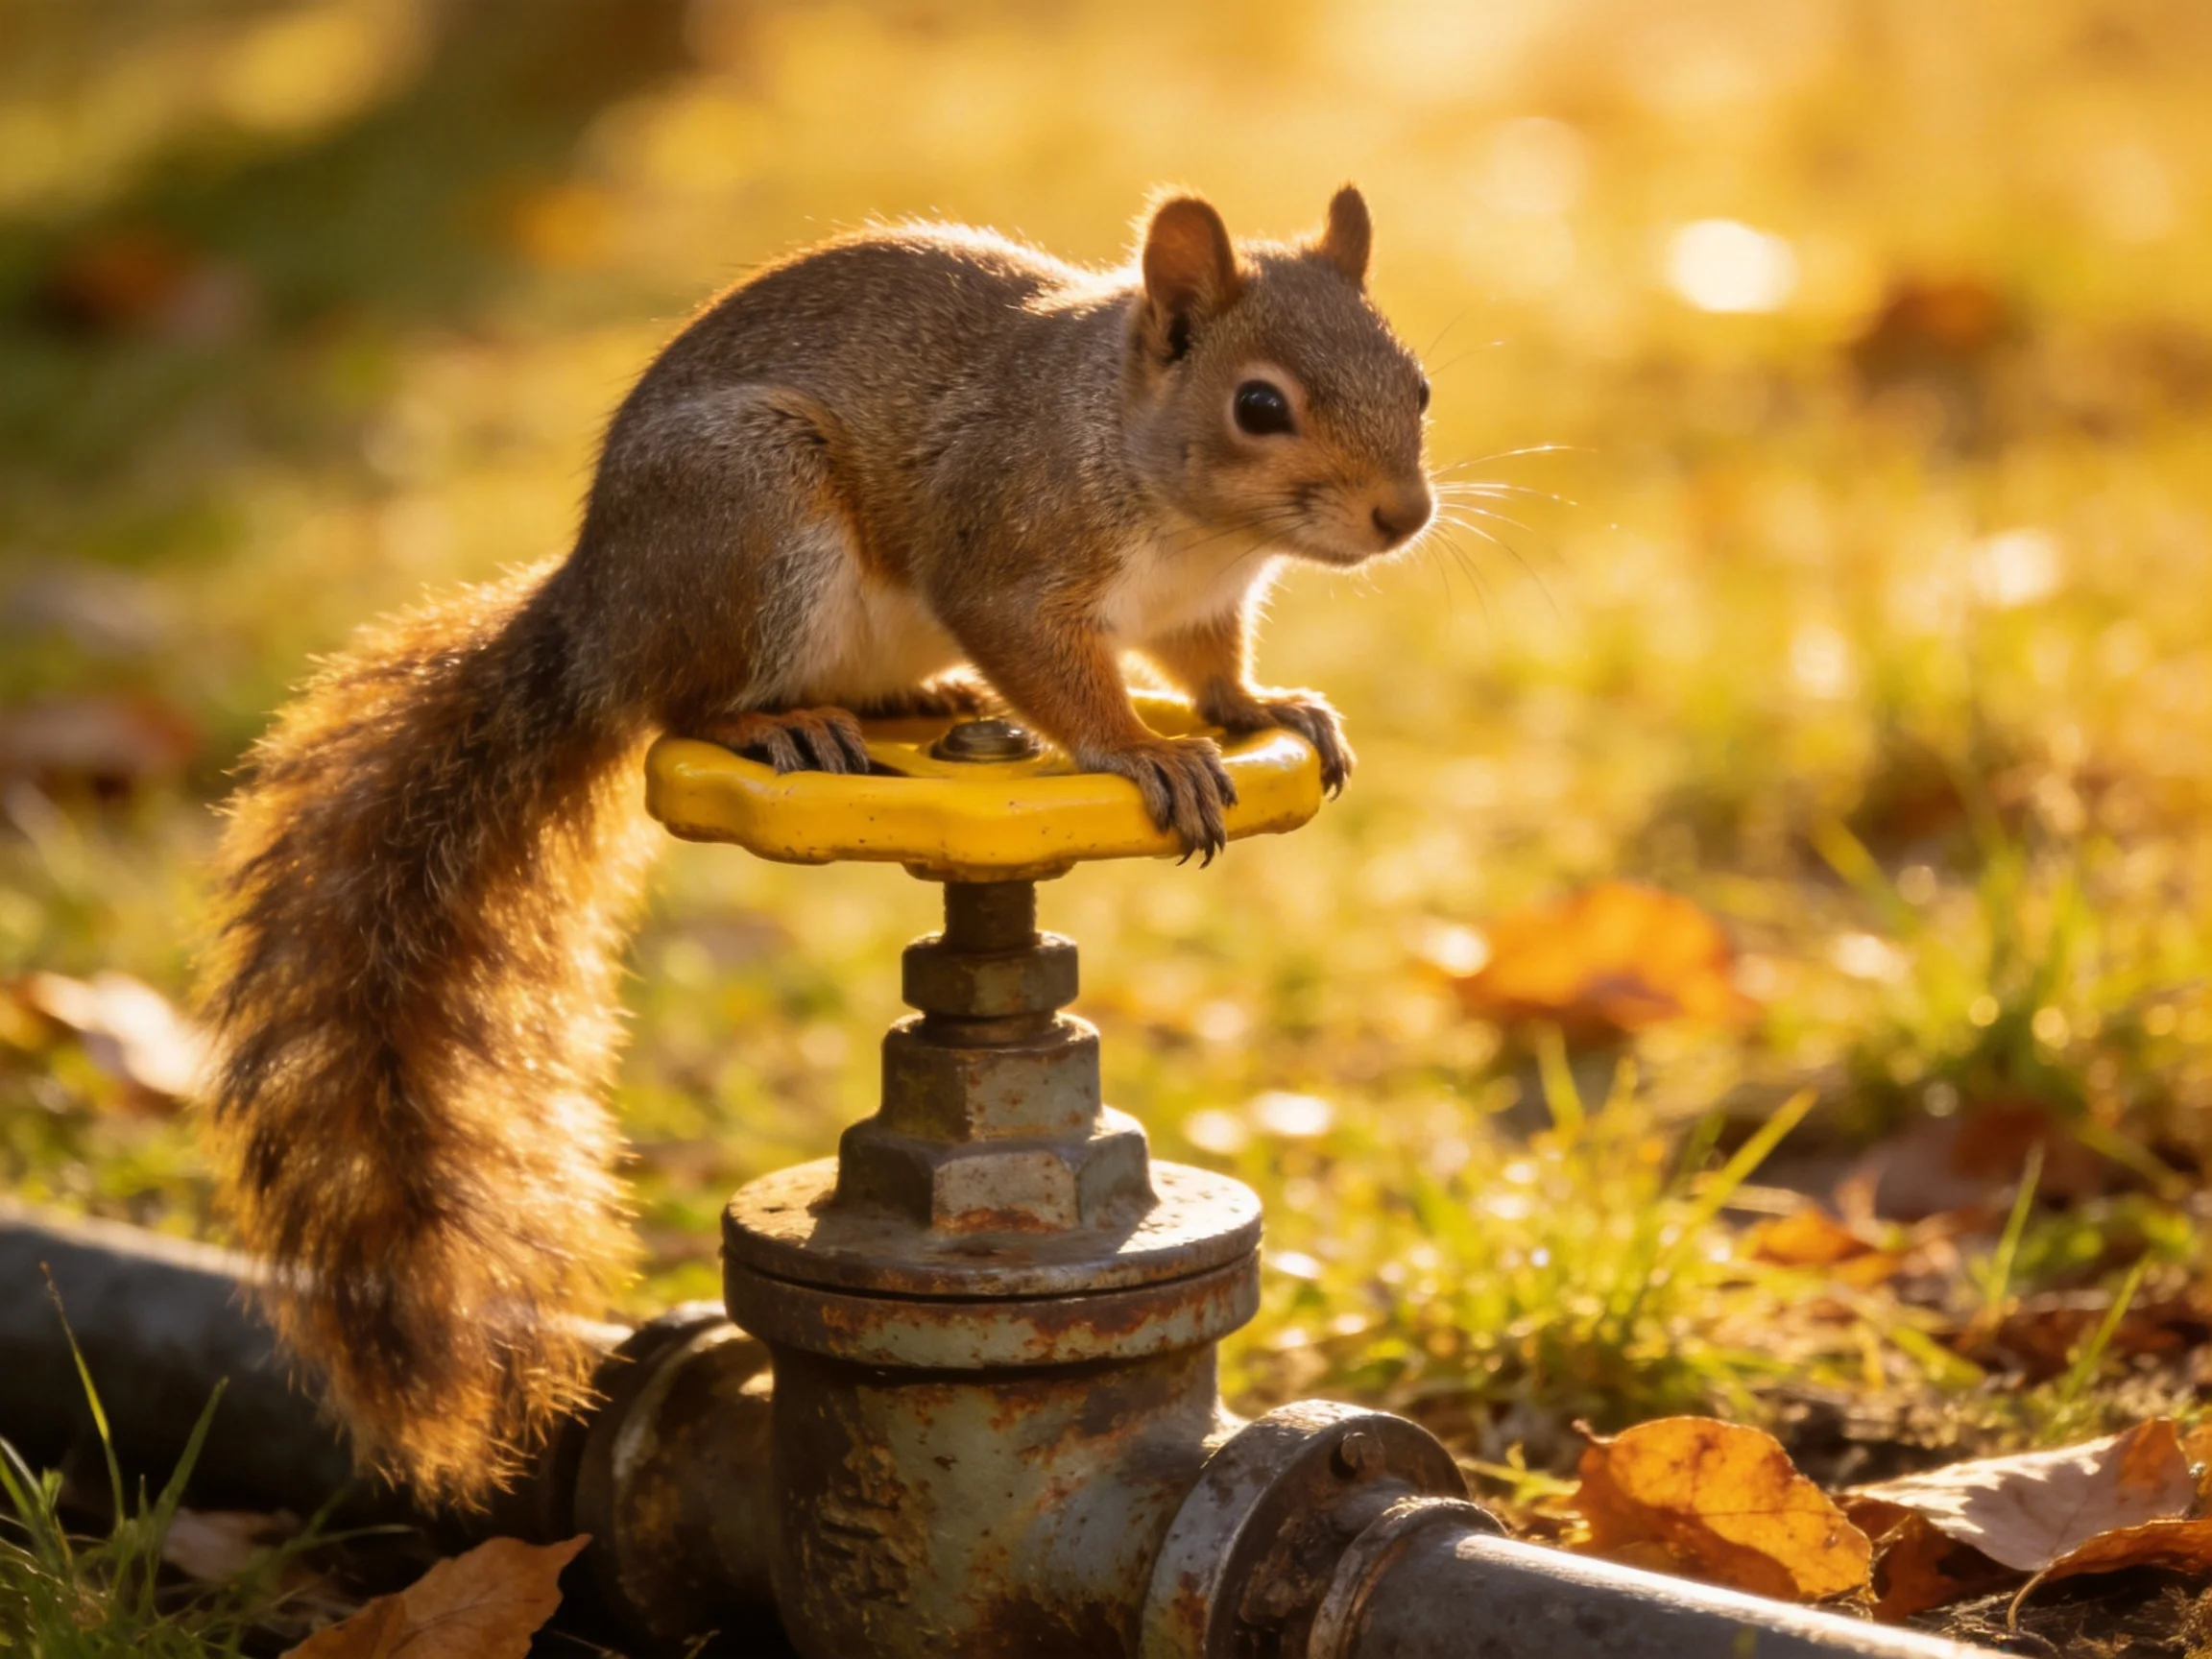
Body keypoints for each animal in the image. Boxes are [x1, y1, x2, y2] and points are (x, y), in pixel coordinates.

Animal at [201, 185, 1435, 1504]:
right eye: (1259, 407)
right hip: (750, 522)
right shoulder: (1005, 553)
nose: (1404, 515)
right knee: (682, 705)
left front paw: (1269, 710)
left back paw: (921, 696)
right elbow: (1058, 676)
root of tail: (595, 614)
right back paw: (775, 722)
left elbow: (1215, 674)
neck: (1151, 468)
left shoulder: (1202, 610)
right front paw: (1141, 752)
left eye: (1418, 384)